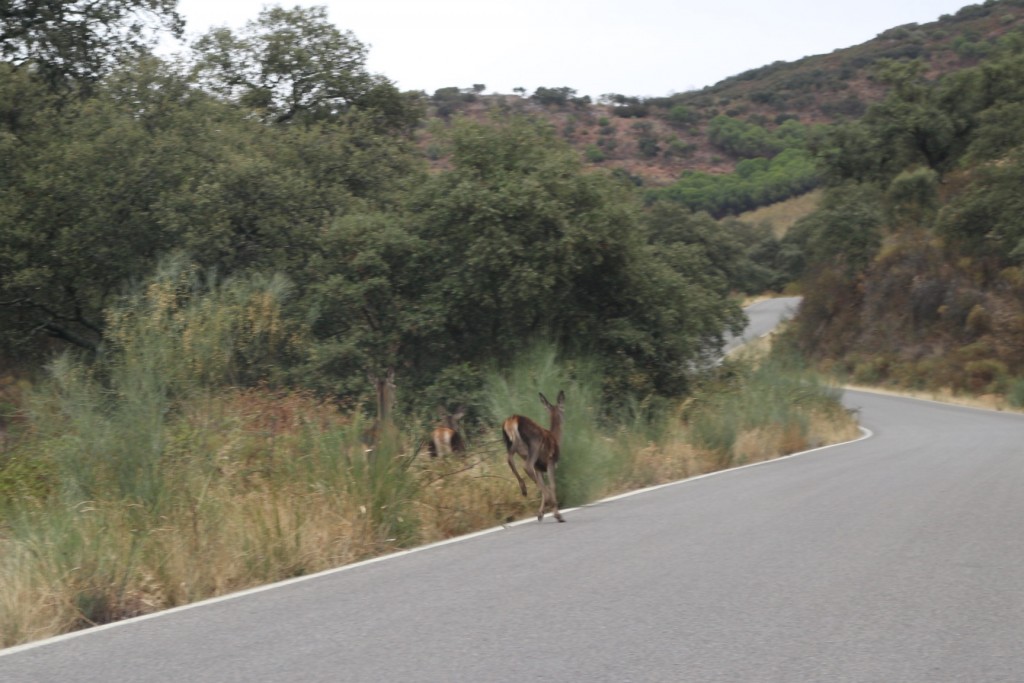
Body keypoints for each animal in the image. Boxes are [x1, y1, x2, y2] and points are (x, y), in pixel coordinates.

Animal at [499, 389, 565, 524]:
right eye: (563, 409)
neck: (556, 437)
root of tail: (511, 422)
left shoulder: (538, 467)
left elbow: (542, 483)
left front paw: (540, 513)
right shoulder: (550, 462)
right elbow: (553, 485)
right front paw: (555, 513)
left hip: (510, 445)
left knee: (509, 460)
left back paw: (524, 488)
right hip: (534, 444)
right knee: (526, 466)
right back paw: (552, 504)